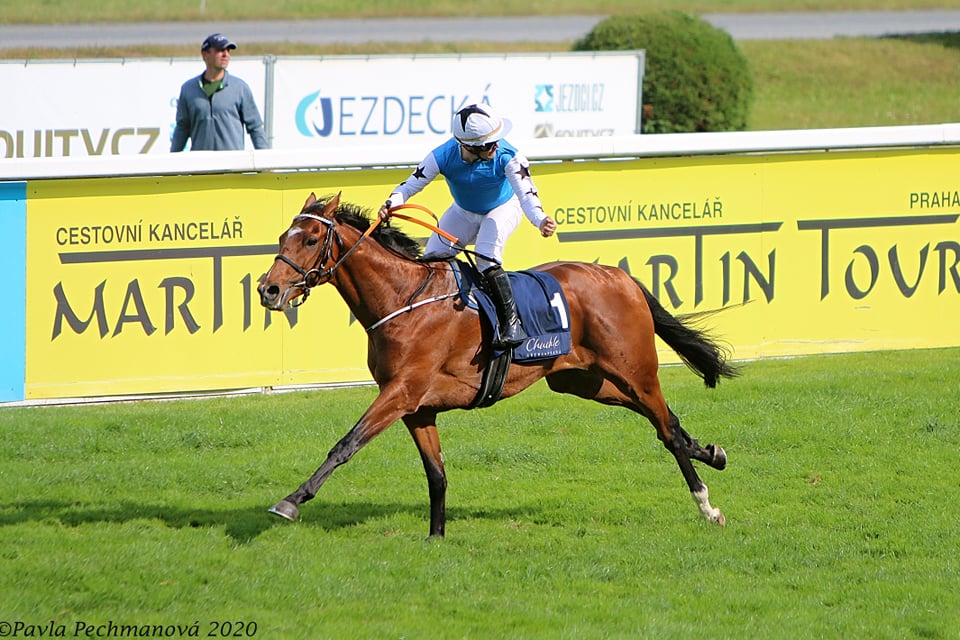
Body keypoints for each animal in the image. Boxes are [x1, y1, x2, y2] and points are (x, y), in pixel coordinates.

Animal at [258, 192, 740, 536]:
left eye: (311, 239)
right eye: (283, 238)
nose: (268, 289)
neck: (404, 299)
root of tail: (620, 275)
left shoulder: (401, 392)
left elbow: (346, 443)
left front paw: (291, 501)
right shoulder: (417, 408)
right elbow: (436, 474)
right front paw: (436, 536)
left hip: (635, 371)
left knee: (665, 429)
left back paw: (707, 505)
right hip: (584, 381)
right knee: (667, 422)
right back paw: (712, 453)